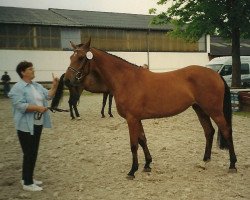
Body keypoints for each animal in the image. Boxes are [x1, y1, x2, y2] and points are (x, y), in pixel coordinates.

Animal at [63, 38, 237, 179]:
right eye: (70, 57)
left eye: (81, 58)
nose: (67, 80)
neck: (126, 79)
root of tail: (215, 74)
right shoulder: (137, 119)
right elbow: (142, 140)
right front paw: (147, 164)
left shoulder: (132, 119)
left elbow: (134, 144)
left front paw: (132, 170)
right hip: (199, 109)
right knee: (209, 131)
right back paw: (205, 160)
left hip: (214, 111)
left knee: (226, 131)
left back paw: (232, 165)